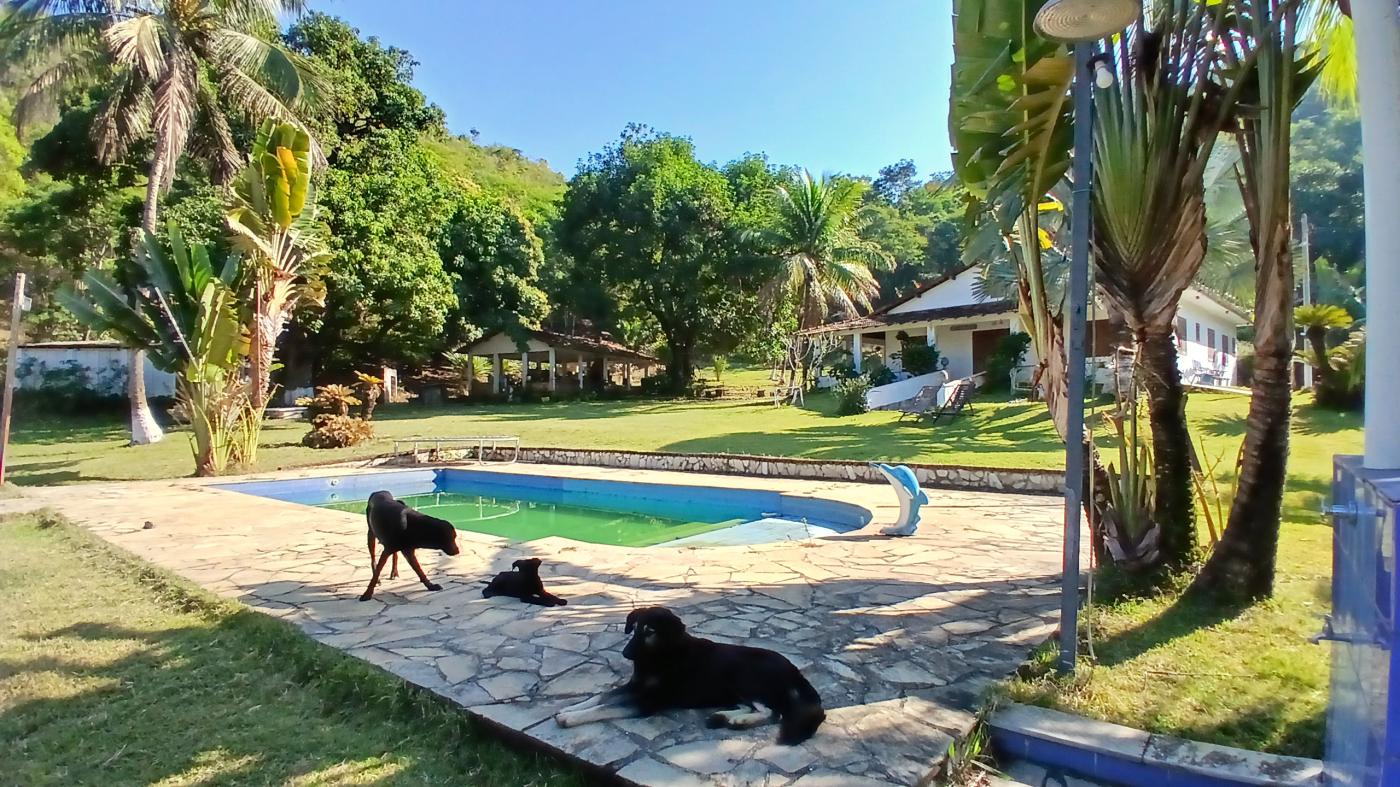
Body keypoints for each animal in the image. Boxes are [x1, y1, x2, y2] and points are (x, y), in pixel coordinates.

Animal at [551, 599, 823, 739]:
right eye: (635, 628)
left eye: (650, 631)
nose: (626, 654)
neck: (659, 656)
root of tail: (795, 671)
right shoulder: (634, 686)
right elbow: (601, 696)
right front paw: (571, 707)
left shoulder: (648, 701)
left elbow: (604, 707)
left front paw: (570, 718)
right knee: (754, 707)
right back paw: (724, 716)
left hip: (743, 677)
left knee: (773, 712)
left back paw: (739, 720)